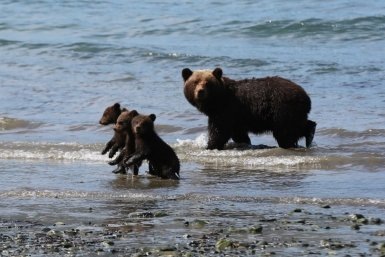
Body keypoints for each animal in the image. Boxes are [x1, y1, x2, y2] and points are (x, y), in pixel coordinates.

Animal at [181, 67, 316, 149]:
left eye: (208, 83)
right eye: (195, 82)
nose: (200, 91)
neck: (217, 100)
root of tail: (305, 96)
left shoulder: (226, 110)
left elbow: (219, 131)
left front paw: (210, 146)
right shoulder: (235, 116)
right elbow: (238, 133)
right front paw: (245, 143)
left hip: (283, 109)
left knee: (285, 132)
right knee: (298, 126)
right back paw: (310, 133)